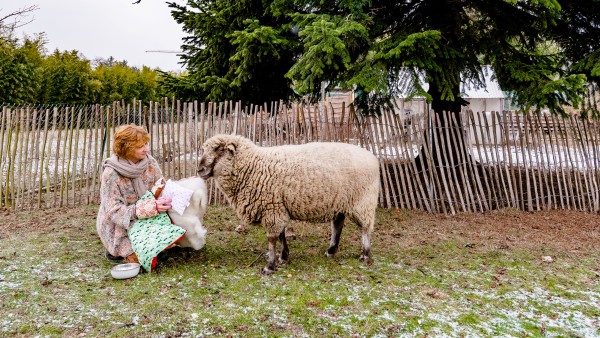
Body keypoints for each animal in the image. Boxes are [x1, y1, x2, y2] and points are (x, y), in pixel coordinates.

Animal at [198, 133, 380, 274]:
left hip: (362, 201)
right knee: (338, 225)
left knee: (365, 228)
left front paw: (270, 266)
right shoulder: (278, 207)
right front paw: (283, 257)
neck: (252, 166)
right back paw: (331, 251)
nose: (199, 170)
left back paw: (365, 254)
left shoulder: (271, 207)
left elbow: (272, 238)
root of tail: (373, 158)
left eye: (219, 149)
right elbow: (281, 235)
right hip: (340, 202)